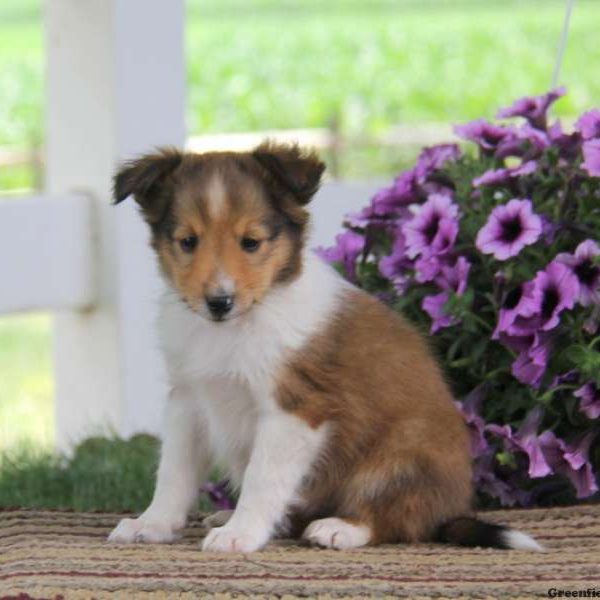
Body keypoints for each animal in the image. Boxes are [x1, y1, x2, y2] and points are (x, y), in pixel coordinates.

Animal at [109, 142, 544, 552]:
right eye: (188, 241)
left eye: (251, 242)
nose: (219, 302)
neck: (236, 327)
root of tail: (449, 512)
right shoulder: (189, 399)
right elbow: (173, 472)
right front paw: (152, 524)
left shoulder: (295, 410)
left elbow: (261, 478)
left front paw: (240, 535)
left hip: (403, 452)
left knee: (398, 520)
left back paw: (339, 528)